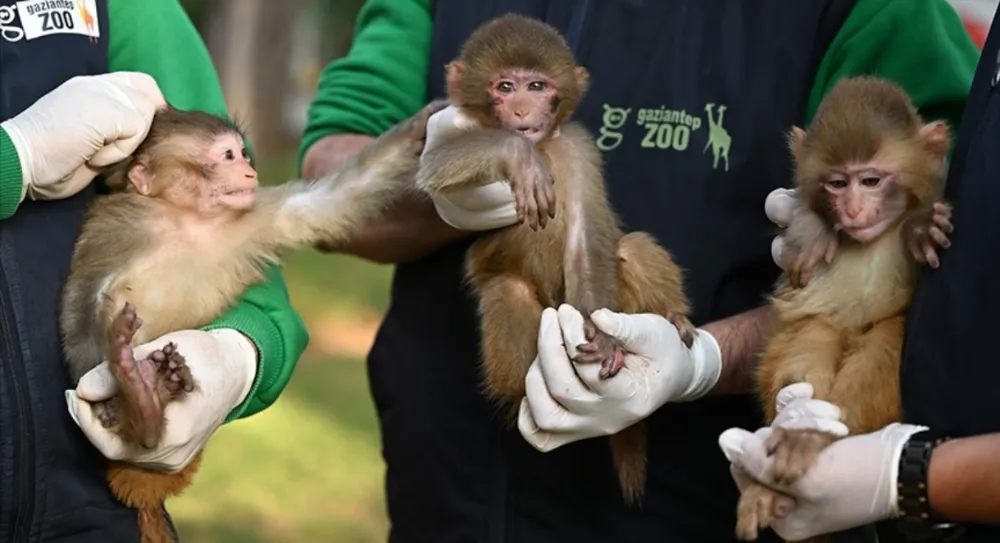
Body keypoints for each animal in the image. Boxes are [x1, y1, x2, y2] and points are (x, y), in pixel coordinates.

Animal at [57, 100, 442, 540]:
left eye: (242, 153)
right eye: (228, 156)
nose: (250, 171)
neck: (187, 219)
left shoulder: (254, 215)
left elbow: (327, 202)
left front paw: (421, 126)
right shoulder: (117, 227)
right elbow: (87, 296)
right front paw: (104, 402)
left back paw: (150, 403)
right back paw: (138, 401)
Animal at [414, 12, 696, 506]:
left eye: (537, 86)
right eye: (505, 87)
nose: (522, 112)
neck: (544, 145)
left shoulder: (578, 147)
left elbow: (586, 238)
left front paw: (605, 338)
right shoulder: (454, 132)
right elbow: (436, 162)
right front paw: (517, 158)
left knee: (630, 247)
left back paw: (671, 320)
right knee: (507, 290)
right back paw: (527, 393)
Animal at [740, 77, 956, 543]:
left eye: (871, 180)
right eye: (837, 184)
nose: (854, 209)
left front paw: (919, 226)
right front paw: (815, 229)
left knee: (885, 344)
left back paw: (810, 440)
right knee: (815, 333)